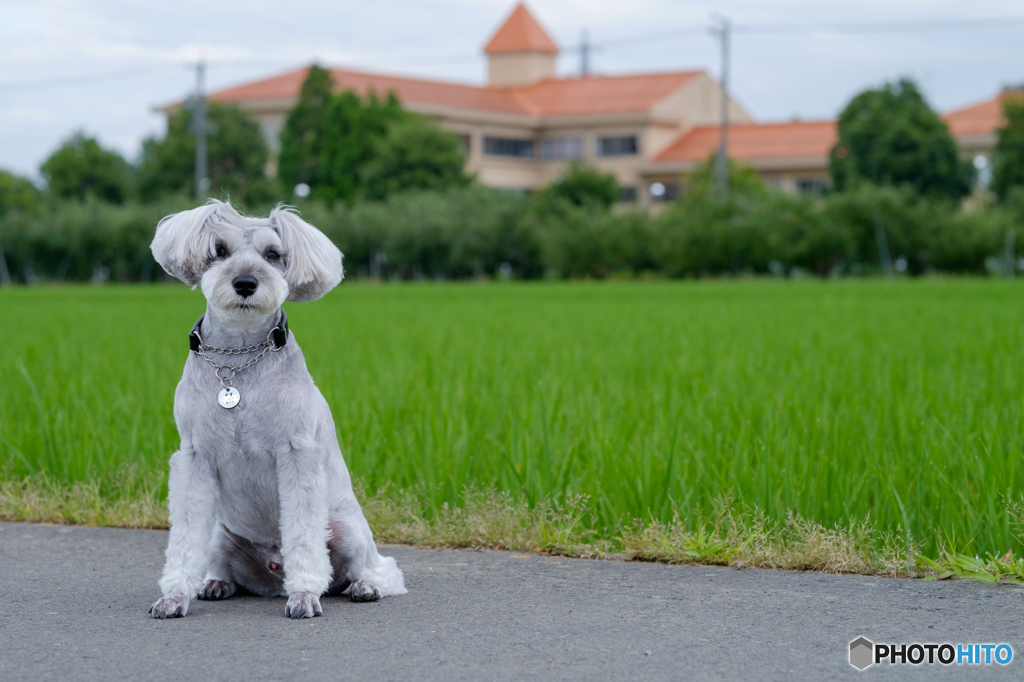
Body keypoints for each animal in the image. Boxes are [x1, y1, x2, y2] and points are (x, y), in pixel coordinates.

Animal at [148, 197, 403, 614]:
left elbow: (303, 534)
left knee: (377, 568)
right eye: (219, 250)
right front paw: (174, 596)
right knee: (223, 564)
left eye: (273, 254)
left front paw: (305, 594)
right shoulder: (194, 457)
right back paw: (216, 583)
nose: (245, 283)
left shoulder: (297, 454)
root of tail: (273, 574)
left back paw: (365, 586)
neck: (238, 360)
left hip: (347, 530)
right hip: (221, 535)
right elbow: (184, 538)